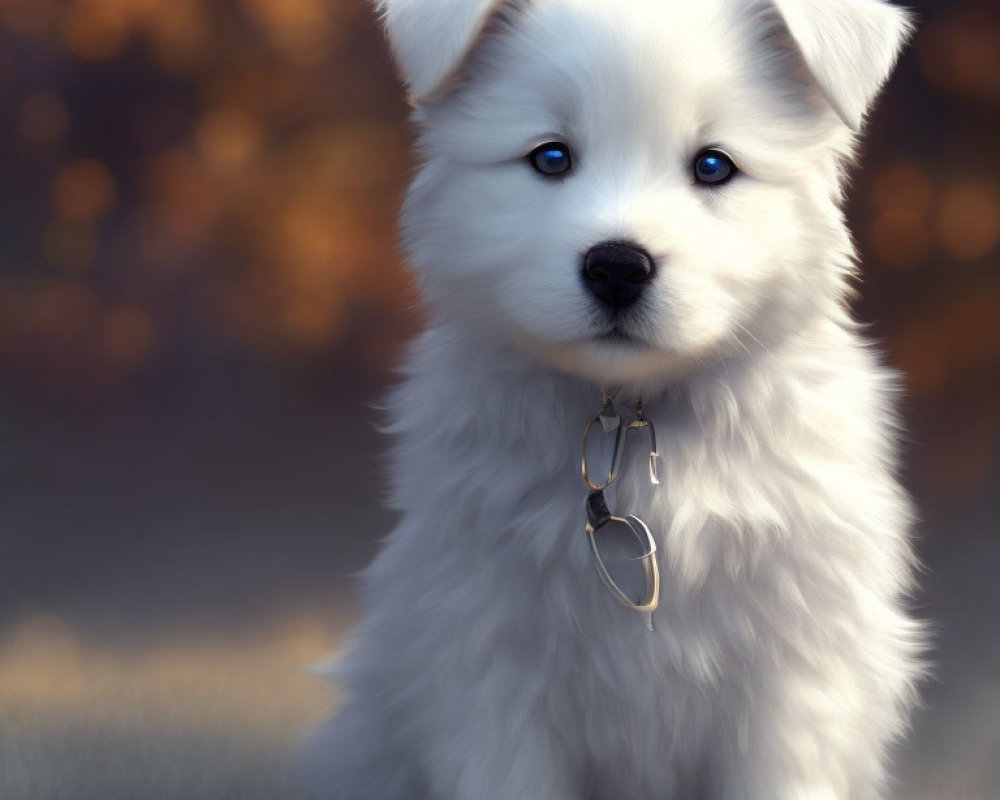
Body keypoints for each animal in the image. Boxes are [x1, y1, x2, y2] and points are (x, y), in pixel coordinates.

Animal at [300, 1, 924, 800]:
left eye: (714, 166)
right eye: (550, 158)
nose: (617, 266)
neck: (627, 413)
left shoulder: (793, 672)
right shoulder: (484, 660)